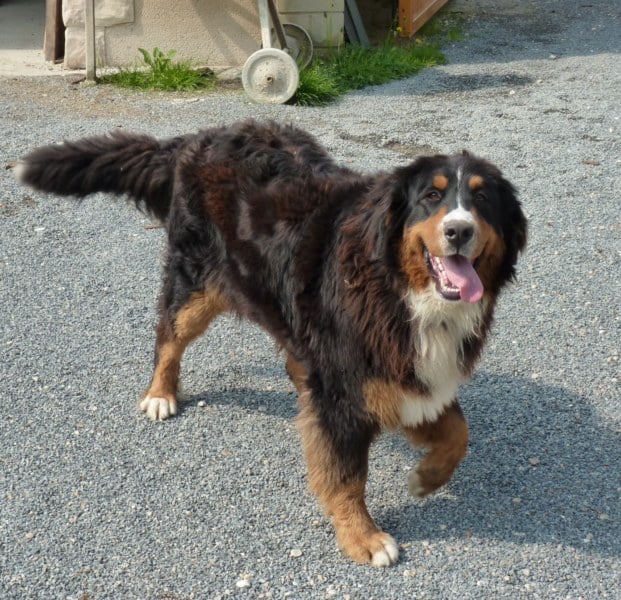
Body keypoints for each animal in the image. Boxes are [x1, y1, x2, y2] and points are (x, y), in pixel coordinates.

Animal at [15, 120, 527, 566]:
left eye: (482, 199)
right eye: (431, 197)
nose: (458, 230)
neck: (402, 290)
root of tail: (201, 136)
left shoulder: (406, 375)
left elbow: (458, 432)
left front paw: (425, 479)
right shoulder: (349, 388)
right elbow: (347, 475)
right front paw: (362, 536)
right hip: (198, 284)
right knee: (169, 336)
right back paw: (160, 393)